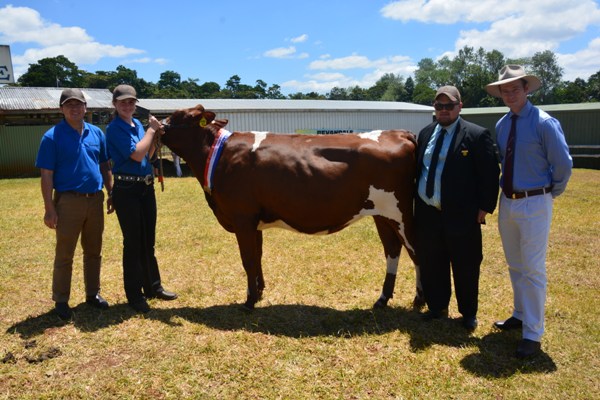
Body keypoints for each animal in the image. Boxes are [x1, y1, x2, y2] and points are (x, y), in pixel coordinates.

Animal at [158, 104, 422, 310]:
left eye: (178, 116)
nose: (157, 123)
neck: (220, 154)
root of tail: (398, 133)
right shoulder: (254, 221)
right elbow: (258, 256)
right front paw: (259, 292)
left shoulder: (242, 217)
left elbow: (248, 259)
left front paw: (249, 301)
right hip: (381, 214)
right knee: (392, 250)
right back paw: (382, 299)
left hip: (401, 213)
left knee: (416, 251)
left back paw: (419, 300)